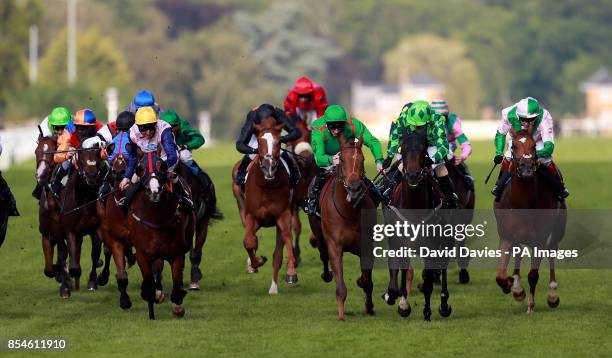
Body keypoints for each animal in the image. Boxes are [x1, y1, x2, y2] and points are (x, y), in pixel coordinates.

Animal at [128, 152, 195, 320]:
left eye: (162, 166)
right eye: (140, 168)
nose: (154, 191)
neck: (156, 219)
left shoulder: (176, 253)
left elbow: (176, 285)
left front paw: (178, 308)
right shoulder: (143, 255)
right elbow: (149, 286)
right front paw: (151, 314)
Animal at [230, 117, 296, 294]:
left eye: (279, 141)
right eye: (259, 142)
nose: (269, 167)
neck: (267, 185)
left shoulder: (283, 215)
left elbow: (286, 240)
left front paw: (291, 273)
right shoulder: (251, 215)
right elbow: (248, 241)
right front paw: (257, 262)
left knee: (278, 251)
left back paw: (274, 287)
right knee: (250, 236)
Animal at [316, 136, 378, 320]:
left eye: (362, 159)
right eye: (342, 160)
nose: (354, 187)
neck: (349, 211)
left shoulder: (366, 245)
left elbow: (367, 281)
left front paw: (369, 307)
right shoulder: (335, 245)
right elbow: (340, 285)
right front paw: (341, 314)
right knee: (323, 255)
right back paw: (326, 274)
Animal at [494, 129, 568, 314]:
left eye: (534, 145)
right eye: (514, 145)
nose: (527, 167)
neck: (524, 204)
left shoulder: (539, 239)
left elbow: (533, 275)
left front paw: (530, 305)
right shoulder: (506, 235)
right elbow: (500, 275)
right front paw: (512, 286)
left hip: (558, 228)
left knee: (551, 251)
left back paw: (552, 295)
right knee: (519, 251)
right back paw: (517, 287)